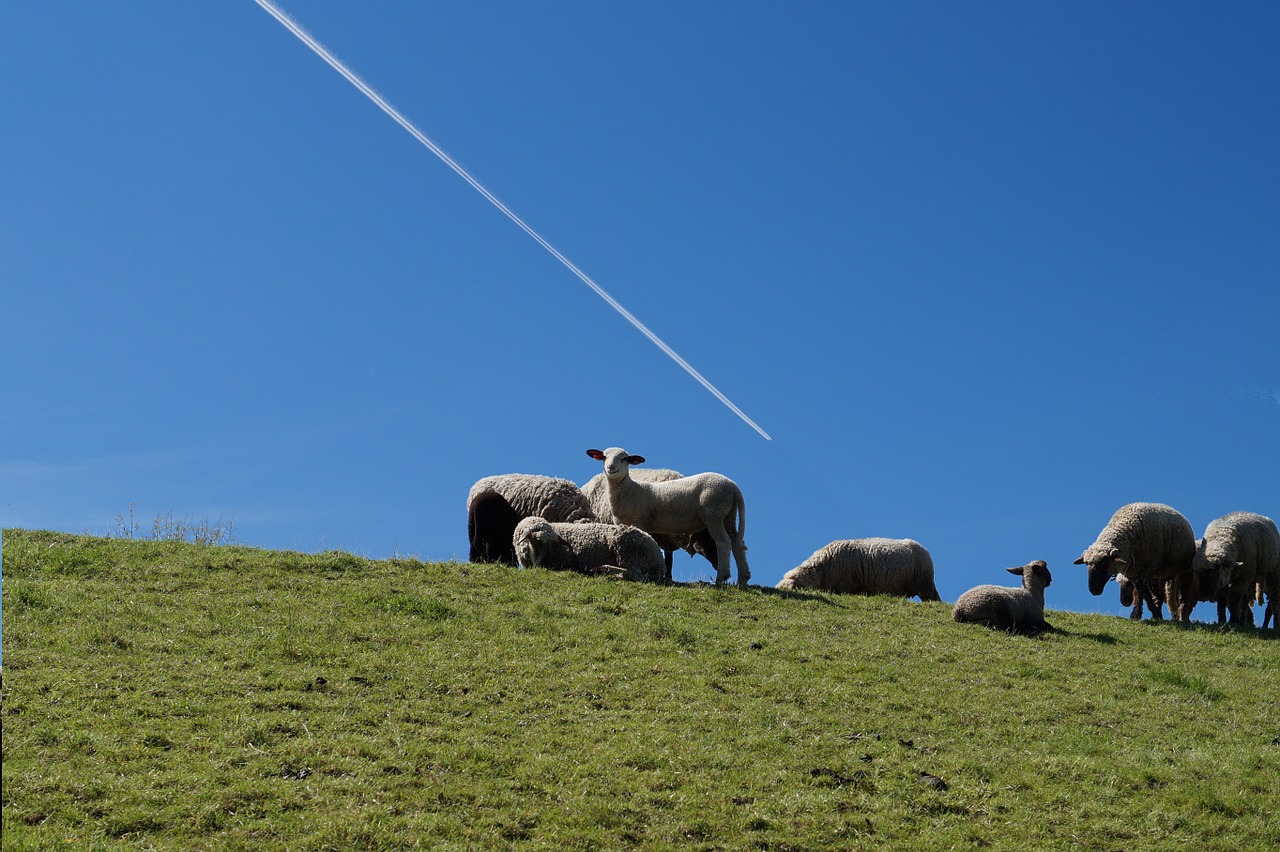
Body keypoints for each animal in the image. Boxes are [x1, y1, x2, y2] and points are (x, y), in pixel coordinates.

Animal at [512, 514, 670, 580]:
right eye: (537, 541)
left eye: (551, 544)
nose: (540, 564)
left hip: (626, 548)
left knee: (635, 575)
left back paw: (606, 571)